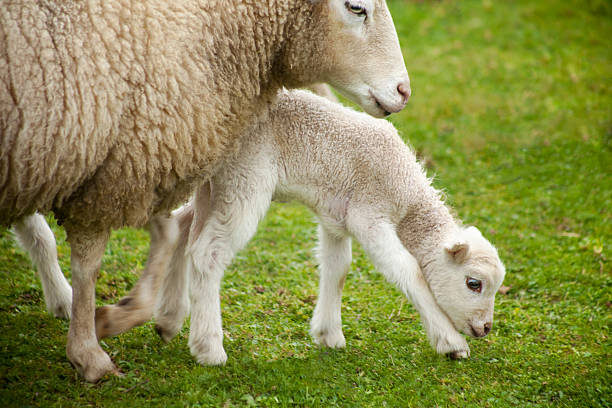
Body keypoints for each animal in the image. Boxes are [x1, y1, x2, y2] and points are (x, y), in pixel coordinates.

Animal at [2, 0, 412, 382]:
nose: (404, 91)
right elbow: (91, 263)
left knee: (36, 230)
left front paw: (139, 314)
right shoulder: (111, 174)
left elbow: (169, 233)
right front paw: (91, 351)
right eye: (356, 7)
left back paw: (64, 299)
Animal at [112, 91, 504, 364]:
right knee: (208, 253)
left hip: (216, 182)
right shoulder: (369, 215)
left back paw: (168, 319)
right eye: (474, 283)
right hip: (245, 180)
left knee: (182, 227)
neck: (407, 197)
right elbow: (409, 271)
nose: (485, 329)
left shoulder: (337, 218)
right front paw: (451, 343)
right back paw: (209, 348)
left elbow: (338, 269)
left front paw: (328, 334)